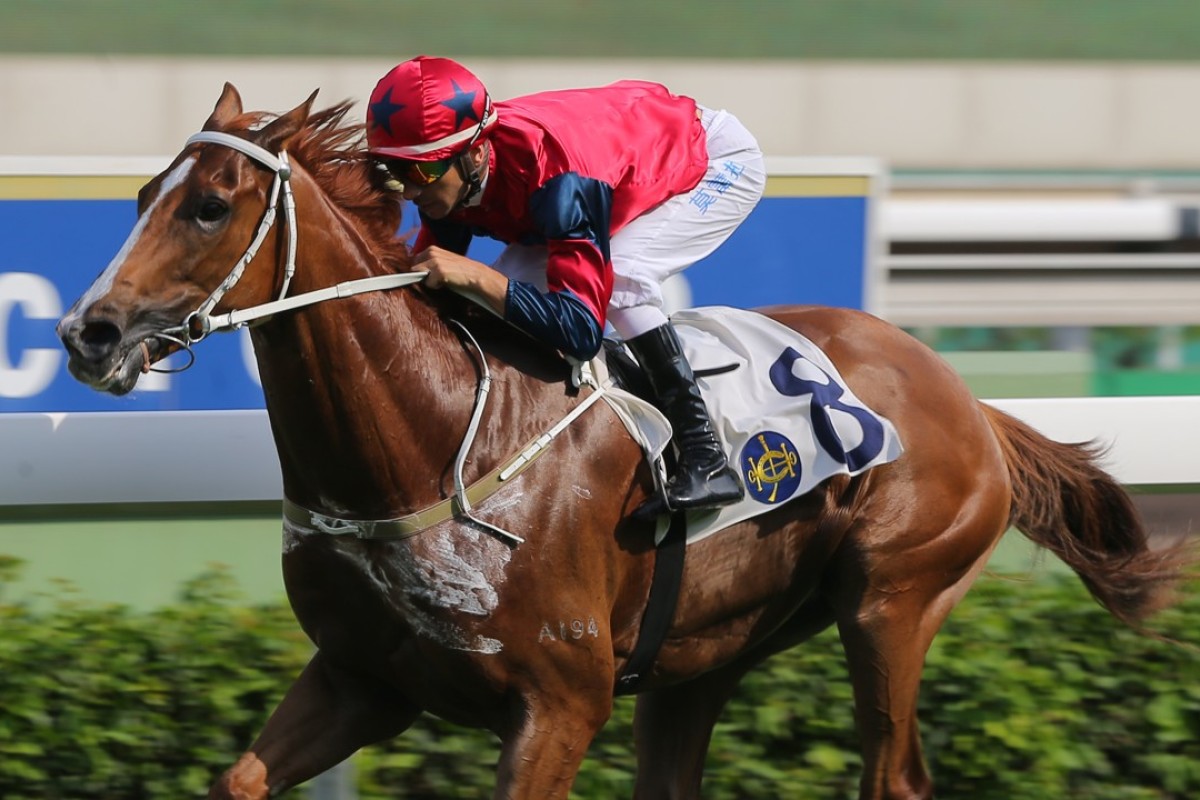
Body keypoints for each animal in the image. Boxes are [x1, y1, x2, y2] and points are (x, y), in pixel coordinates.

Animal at [58, 84, 1190, 796]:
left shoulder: (559, 703)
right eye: (142, 196)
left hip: (894, 601)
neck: (432, 441)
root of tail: (968, 400)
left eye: (210, 207)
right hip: (705, 651)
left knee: (897, 773)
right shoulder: (358, 679)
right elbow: (241, 775)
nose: (87, 333)